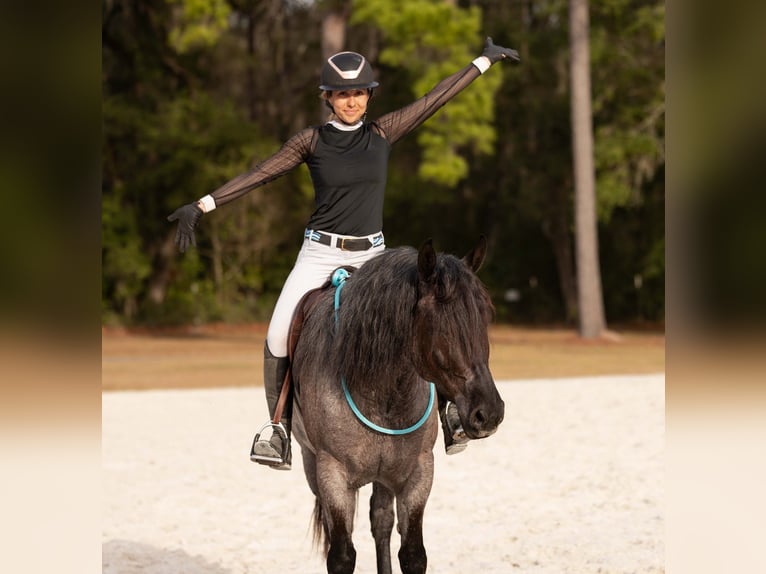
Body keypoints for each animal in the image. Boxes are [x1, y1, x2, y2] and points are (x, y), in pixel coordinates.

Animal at [290, 237, 505, 574]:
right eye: (438, 323)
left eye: (485, 315)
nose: (489, 412)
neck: (382, 393)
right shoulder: (332, 475)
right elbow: (341, 555)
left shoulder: (417, 472)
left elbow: (413, 553)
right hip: (311, 463)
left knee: (381, 521)